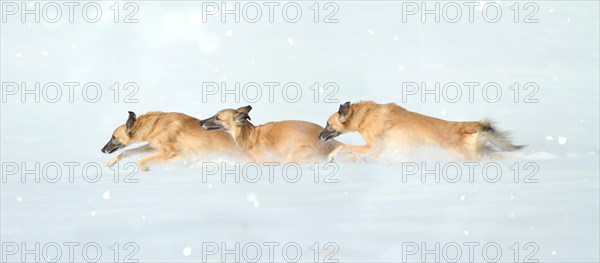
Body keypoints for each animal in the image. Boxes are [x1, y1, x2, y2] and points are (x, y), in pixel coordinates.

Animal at [101, 111, 244, 171]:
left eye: (113, 137)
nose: (102, 150)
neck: (153, 125)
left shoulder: (171, 151)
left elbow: (140, 160)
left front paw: (146, 170)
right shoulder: (153, 146)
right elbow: (127, 152)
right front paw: (111, 162)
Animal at [318, 101, 524, 162]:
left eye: (327, 124)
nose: (319, 136)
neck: (364, 116)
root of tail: (461, 125)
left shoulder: (374, 148)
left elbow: (343, 147)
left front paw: (331, 157)